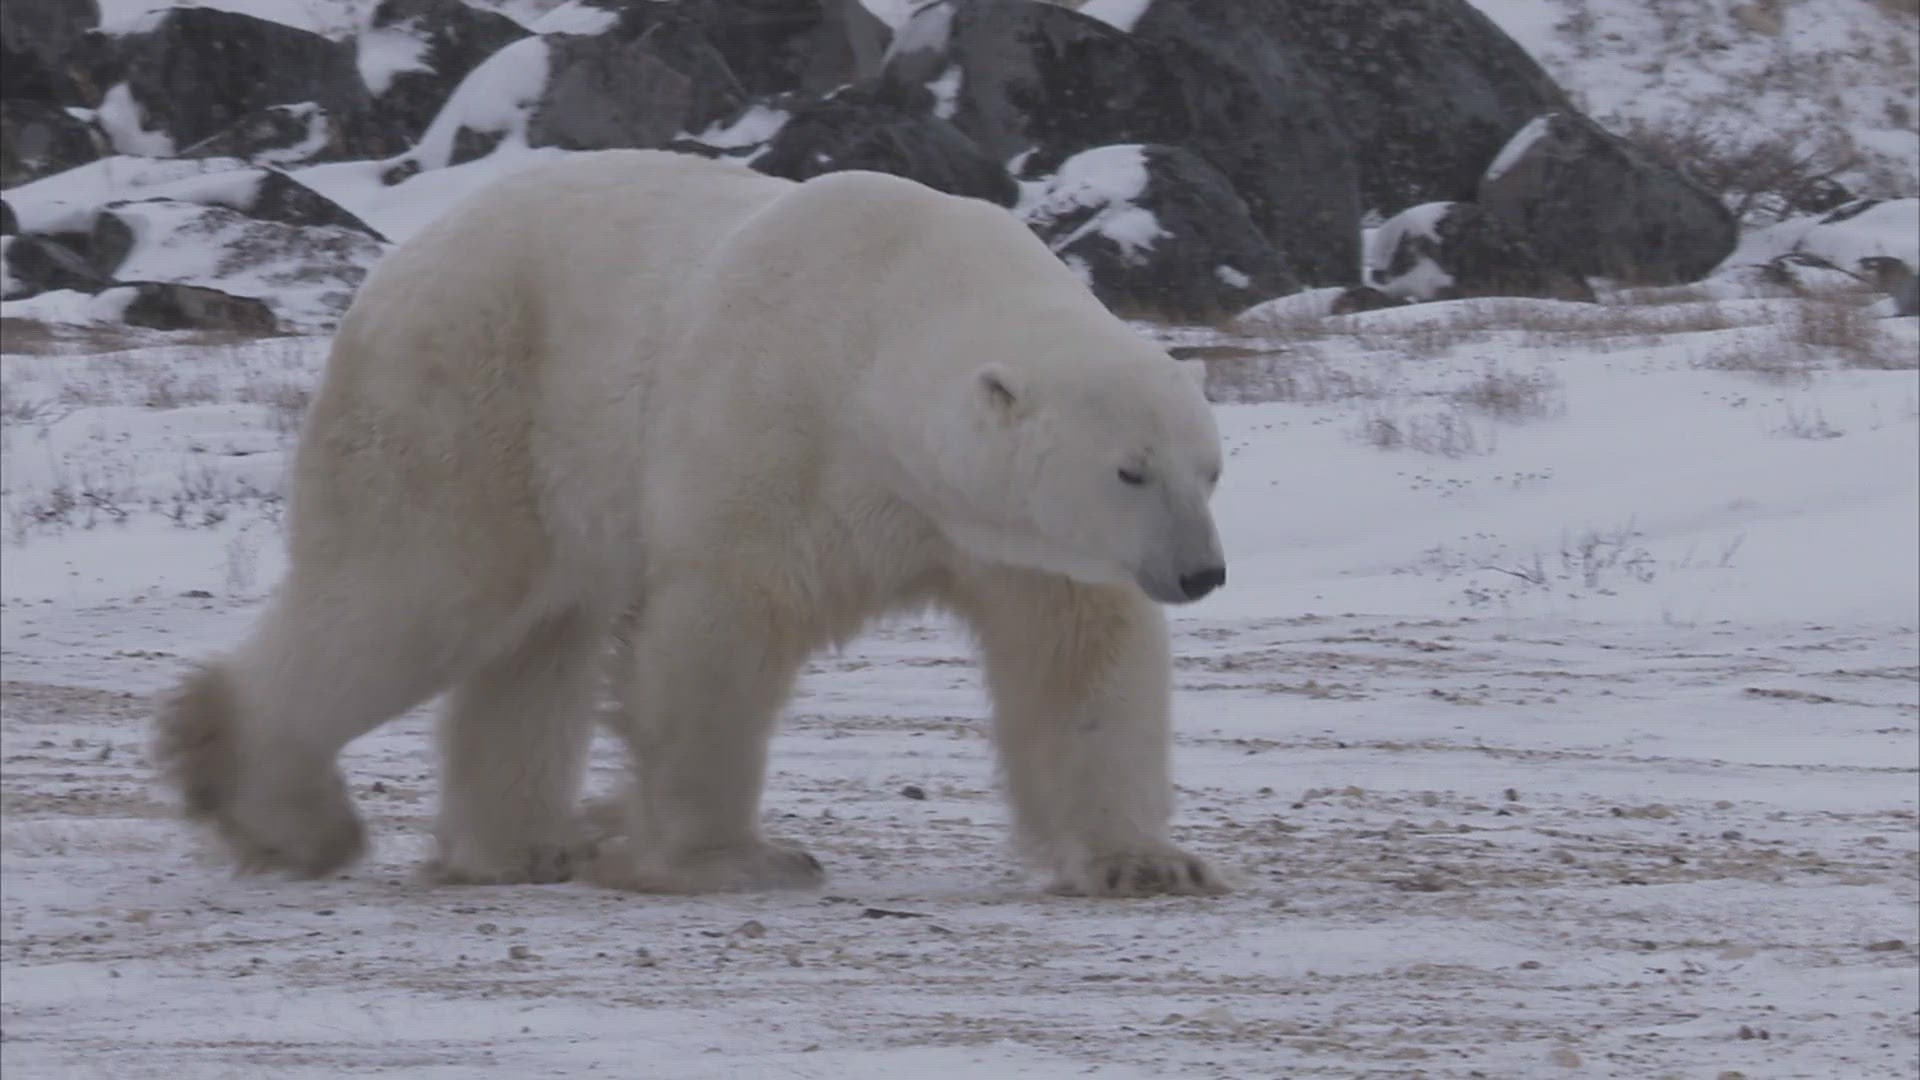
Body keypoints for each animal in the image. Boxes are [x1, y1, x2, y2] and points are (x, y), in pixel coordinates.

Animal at [153, 149, 1229, 898]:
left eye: (1210, 469)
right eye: (1130, 469)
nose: (1202, 574)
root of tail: (396, 266)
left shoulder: (1007, 539)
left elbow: (1081, 661)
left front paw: (1146, 862)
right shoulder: (776, 434)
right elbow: (722, 631)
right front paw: (737, 857)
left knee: (536, 641)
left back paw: (529, 843)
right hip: (470, 394)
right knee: (415, 590)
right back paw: (271, 800)